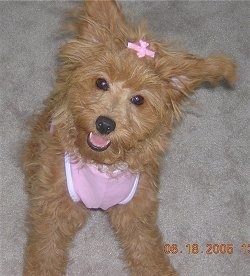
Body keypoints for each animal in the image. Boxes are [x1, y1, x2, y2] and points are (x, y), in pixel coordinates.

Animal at [22, 1, 235, 274]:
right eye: (101, 83)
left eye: (138, 99)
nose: (104, 124)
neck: (103, 166)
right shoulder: (54, 208)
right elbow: (45, 252)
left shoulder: (137, 212)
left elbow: (146, 250)